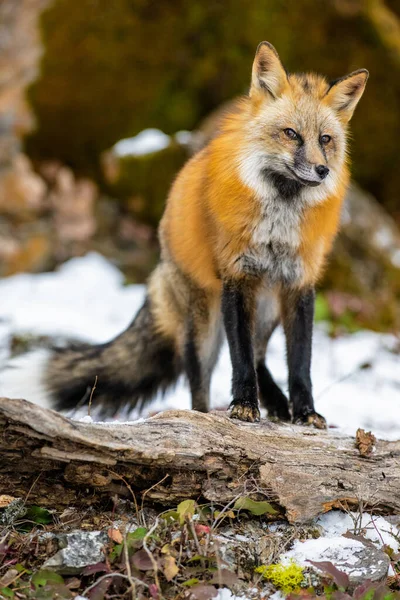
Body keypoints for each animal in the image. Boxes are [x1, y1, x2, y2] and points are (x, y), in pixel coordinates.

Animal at [43, 42, 368, 426]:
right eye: (291, 133)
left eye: (325, 139)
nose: (322, 170)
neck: (279, 222)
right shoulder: (236, 278)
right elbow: (240, 358)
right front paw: (244, 405)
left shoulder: (299, 285)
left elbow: (300, 363)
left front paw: (305, 412)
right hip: (205, 326)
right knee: (206, 381)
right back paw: (207, 416)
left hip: (267, 309)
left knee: (260, 356)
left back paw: (277, 404)